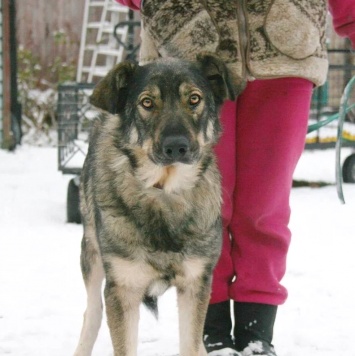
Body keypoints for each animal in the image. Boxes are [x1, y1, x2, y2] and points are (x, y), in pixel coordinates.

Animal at [74, 55, 238, 356]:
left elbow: (191, 344)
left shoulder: (195, 283)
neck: (164, 191)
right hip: (91, 253)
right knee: (92, 312)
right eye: (147, 102)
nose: (177, 147)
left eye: (194, 99)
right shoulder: (122, 289)